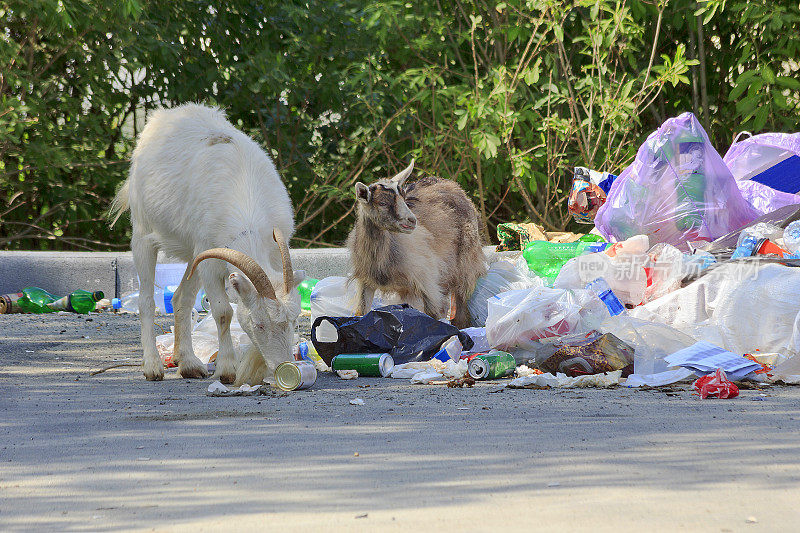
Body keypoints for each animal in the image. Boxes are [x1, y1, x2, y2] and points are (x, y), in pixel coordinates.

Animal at [109, 103, 304, 382]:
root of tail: (163, 117)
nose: (283, 366)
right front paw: (227, 370)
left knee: (181, 297)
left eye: (294, 320)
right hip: (143, 232)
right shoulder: (211, 262)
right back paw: (153, 366)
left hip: (194, 254)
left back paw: (187, 363)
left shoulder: (273, 250)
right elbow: (223, 312)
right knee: (146, 300)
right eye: (259, 325)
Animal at [346, 159, 484, 328]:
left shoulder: (427, 280)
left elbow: (433, 313)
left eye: (403, 198)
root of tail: (452, 184)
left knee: (460, 301)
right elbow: (360, 312)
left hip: (465, 262)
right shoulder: (365, 282)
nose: (412, 220)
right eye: (382, 203)